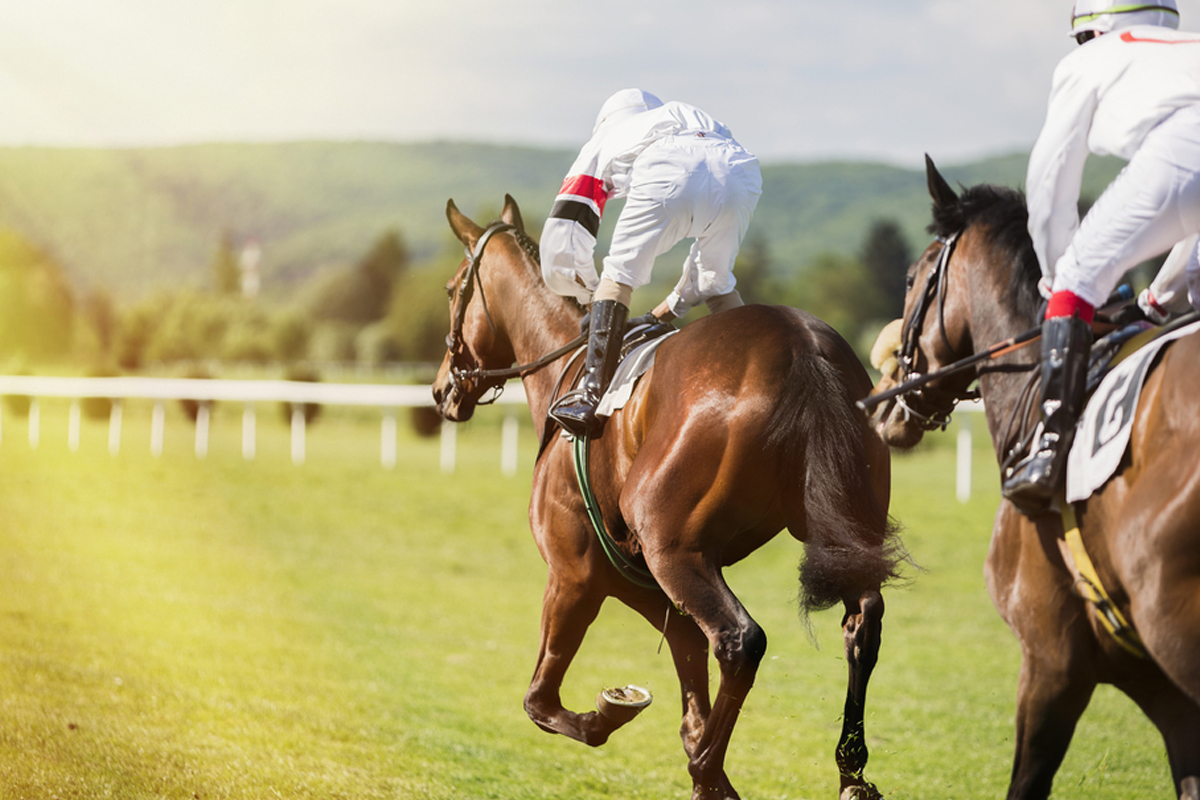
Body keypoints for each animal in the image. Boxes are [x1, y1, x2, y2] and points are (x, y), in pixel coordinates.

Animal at [432, 195, 902, 800]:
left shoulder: (578, 576)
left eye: (451, 290)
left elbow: (541, 701)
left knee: (741, 640)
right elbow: (691, 701)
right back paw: (850, 770)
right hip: (841, 535)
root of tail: (801, 346)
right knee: (862, 621)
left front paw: (614, 713)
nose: (442, 389)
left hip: (673, 551)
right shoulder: (650, 586)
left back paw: (708, 765)